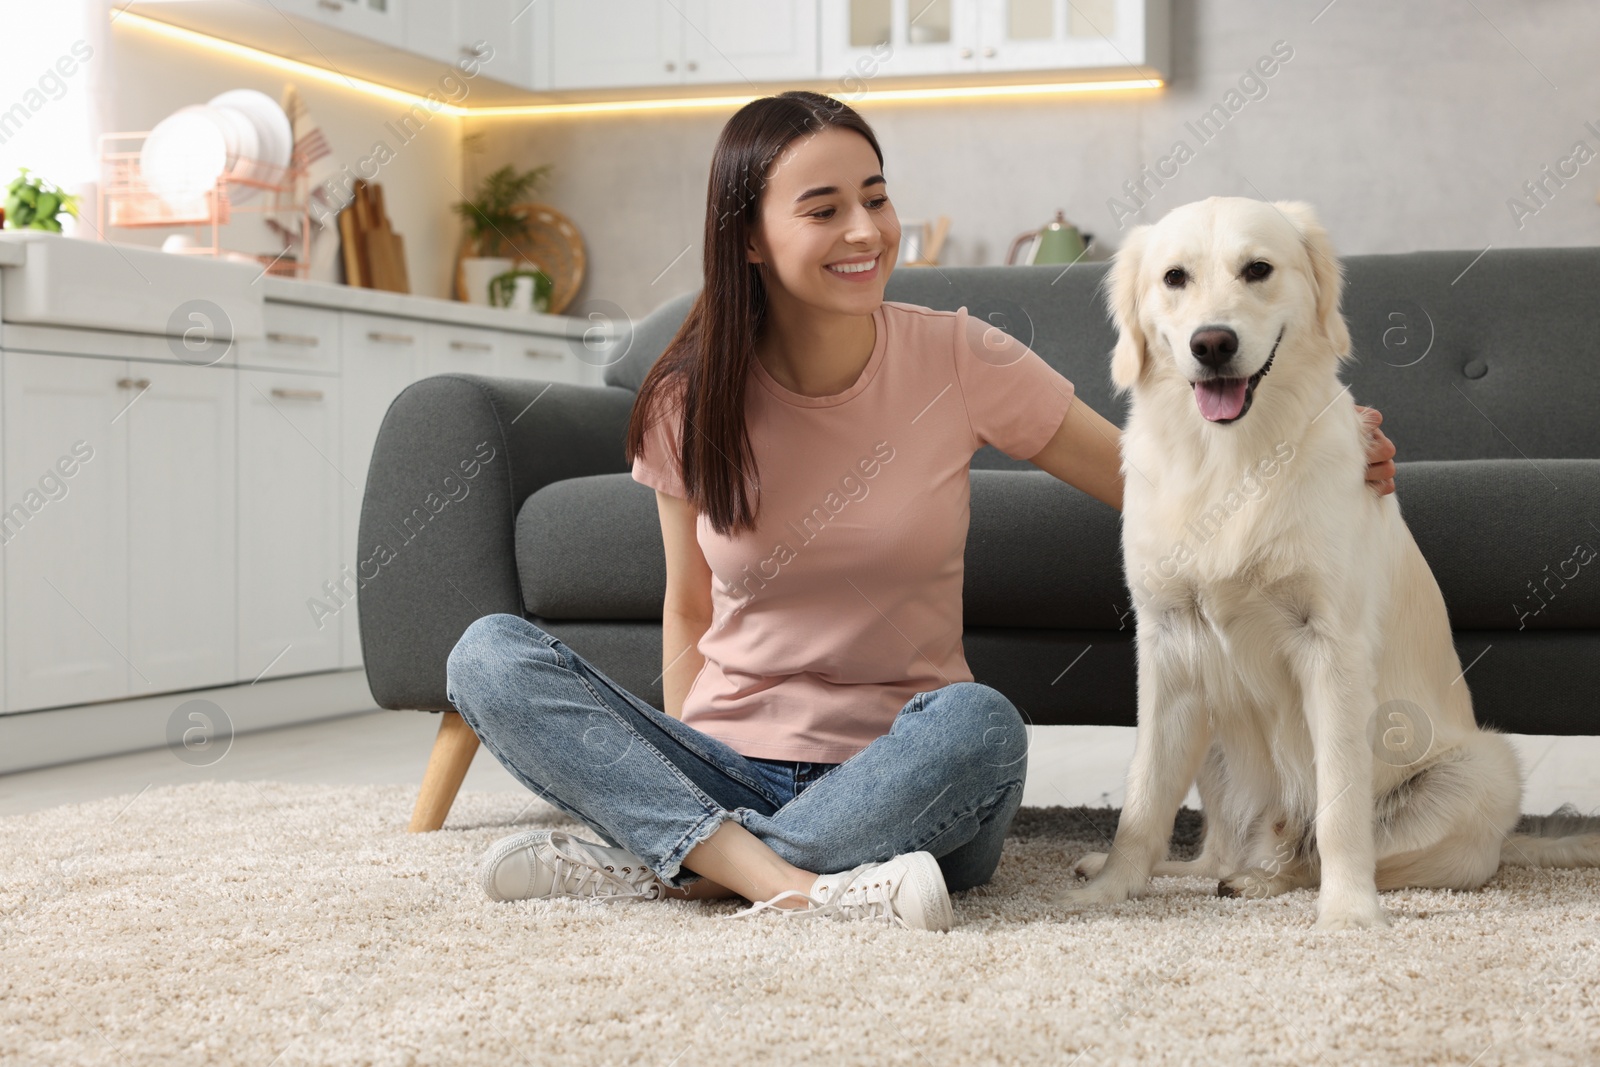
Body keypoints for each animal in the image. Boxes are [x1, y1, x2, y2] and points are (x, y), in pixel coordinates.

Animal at [1056, 195, 1600, 927]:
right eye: (1174, 278)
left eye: (1258, 269)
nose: (1212, 343)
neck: (1230, 460)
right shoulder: (1168, 646)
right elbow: (1144, 797)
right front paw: (1111, 890)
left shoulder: (1332, 647)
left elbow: (1341, 803)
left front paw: (1348, 913)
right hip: (1212, 725)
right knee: (1217, 850)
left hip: (1483, 770)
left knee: (1311, 849)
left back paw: (1271, 879)